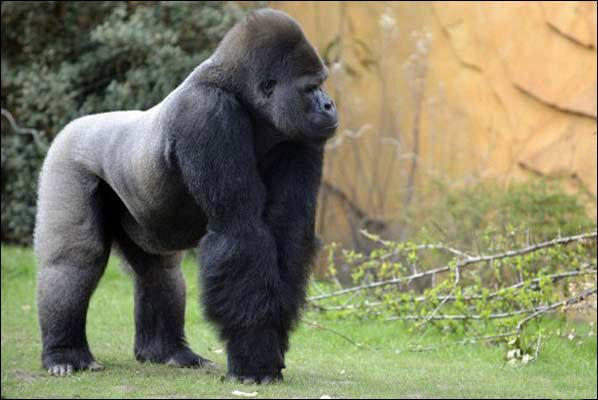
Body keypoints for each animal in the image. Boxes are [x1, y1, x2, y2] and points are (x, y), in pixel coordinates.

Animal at [34, 8, 337, 383]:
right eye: (311, 88)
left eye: (321, 83)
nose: (328, 104)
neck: (243, 96)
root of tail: (73, 125)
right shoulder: (207, 114)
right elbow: (240, 231)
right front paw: (255, 353)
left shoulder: (299, 135)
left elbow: (288, 233)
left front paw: (269, 344)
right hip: (67, 158)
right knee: (75, 259)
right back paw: (66, 353)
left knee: (159, 270)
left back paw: (166, 350)